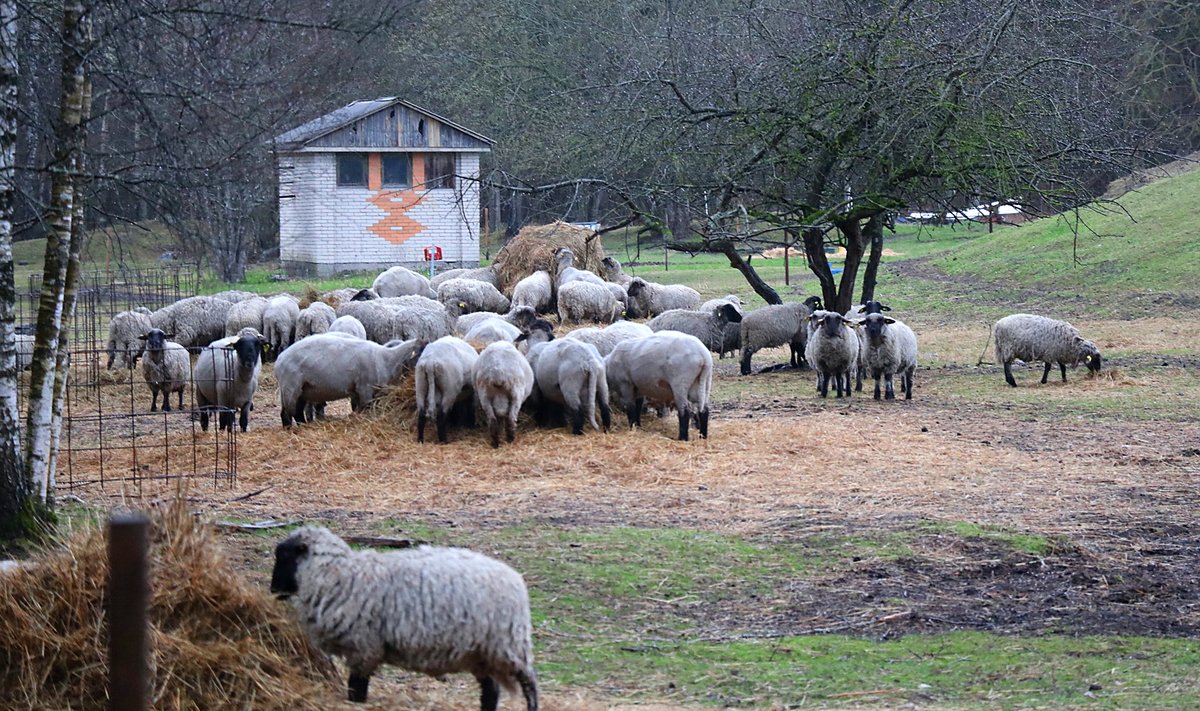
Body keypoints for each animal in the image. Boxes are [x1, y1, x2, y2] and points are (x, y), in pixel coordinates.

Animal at [272, 526, 540, 706]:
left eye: (284, 556)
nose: (273, 589)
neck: (335, 573)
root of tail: (515, 580)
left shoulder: (364, 647)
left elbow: (357, 686)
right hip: (482, 652)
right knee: (491, 690)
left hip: (507, 645)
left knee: (529, 683)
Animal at [274, 331, 424, 425]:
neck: (387, 360)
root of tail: (279, 360)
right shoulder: (365, 389)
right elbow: (365, 410)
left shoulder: (365, 392)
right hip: (290, 386)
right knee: (287, 413)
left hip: (302, 390)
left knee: (297, 412)